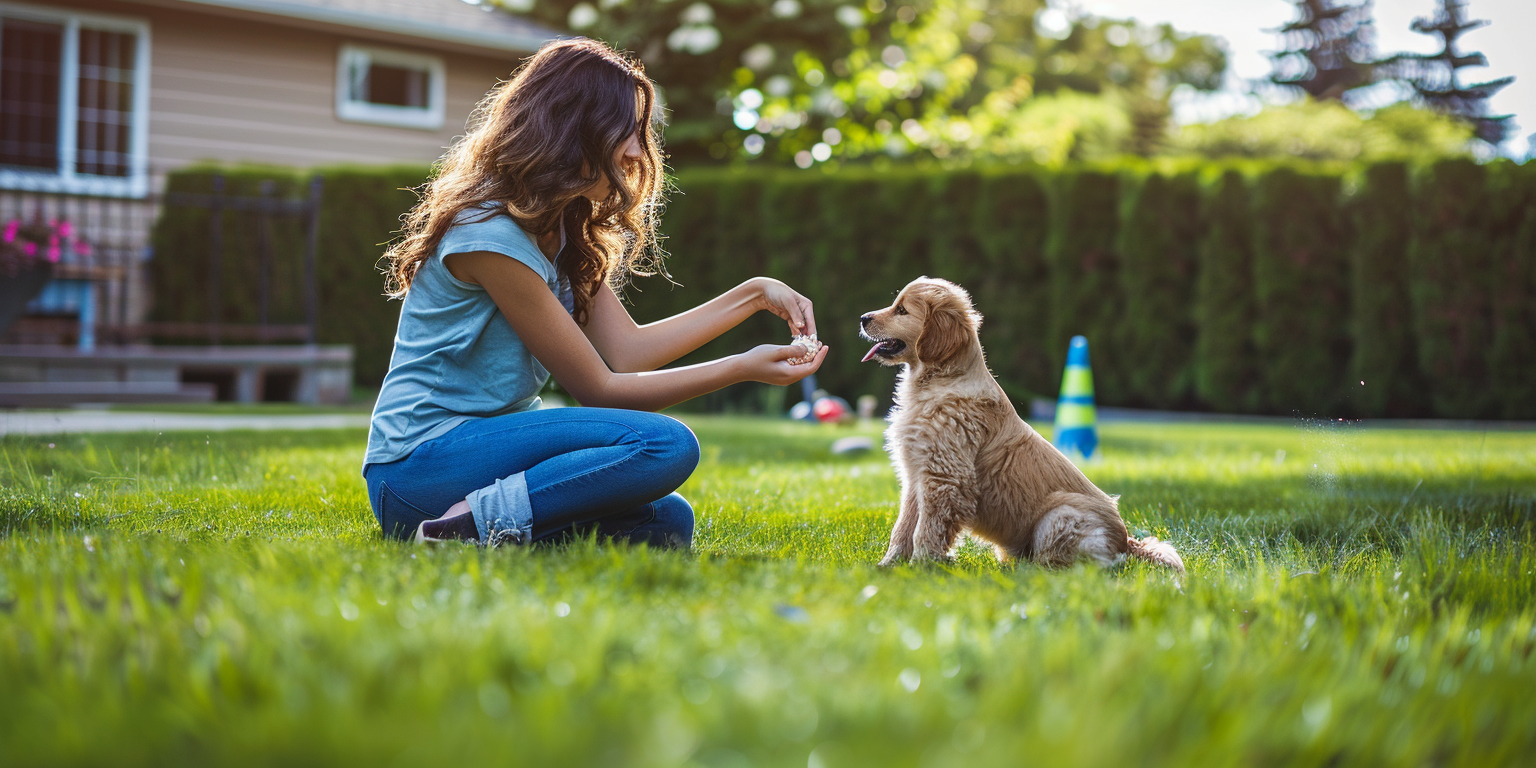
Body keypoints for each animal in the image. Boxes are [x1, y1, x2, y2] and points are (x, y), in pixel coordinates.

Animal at [860, 279, 1179, 574]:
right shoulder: (916, 476)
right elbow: (903, 527)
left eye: (902, 310)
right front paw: (888, 566)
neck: (937, 382)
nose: (863, 317)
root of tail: (1127, 543)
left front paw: (921, 568)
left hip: (1059, 514)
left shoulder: (945, 478)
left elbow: (927, 530)